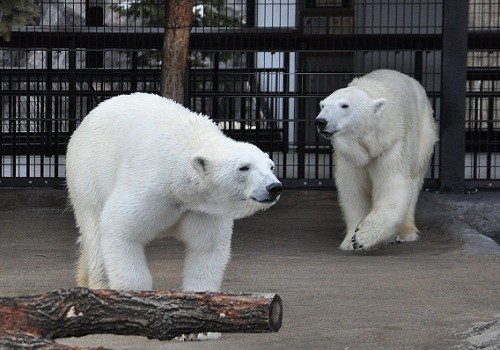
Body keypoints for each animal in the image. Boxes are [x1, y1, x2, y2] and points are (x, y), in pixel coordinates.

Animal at [66, 91, 282, 296]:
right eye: (244, 167)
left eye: (271, 166)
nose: (274, 187)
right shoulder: (150, 185)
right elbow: (119, 228)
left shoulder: (202, 209)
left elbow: (206, 248)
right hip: (88, 173)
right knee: (94, 230)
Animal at [316, 69, 438, 250]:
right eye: (323, 105)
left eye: (345, 105)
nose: (321, 121)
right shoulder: (349, 158)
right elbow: (353, 189)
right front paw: (349, 240)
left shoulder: (391, 146)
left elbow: (393, 185)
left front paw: (362, 237)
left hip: (424, 136)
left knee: (414, 182)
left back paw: (406, 232)